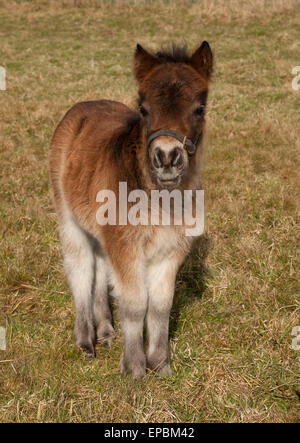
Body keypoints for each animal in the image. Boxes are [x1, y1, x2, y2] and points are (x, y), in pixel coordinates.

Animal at [49, 41, 213, 378]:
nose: (166, 158)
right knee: (81, 270)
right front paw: (135, 369)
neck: (161, 202)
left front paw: (161, 365)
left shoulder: (170, 251)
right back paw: (85, 342)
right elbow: (136, 304)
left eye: (200, 108)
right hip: (70, 219)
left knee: (100, 271)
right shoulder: (126, 248)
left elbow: (161, 306)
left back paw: (106, 332)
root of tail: (85, 105)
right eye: (143, 109)